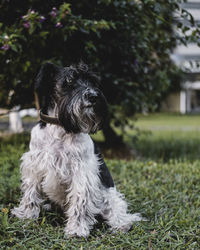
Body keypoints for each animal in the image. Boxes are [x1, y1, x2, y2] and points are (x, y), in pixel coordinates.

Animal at [11, 62, 142, 236]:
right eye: (69, 81)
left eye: (93, 81)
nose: (93, 96)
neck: (60, 129)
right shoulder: (34, 167)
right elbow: (31, 194)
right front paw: (26, 216)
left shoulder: (82, 172)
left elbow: (80, 202)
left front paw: (77, 229)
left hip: (109, 198)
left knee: (117, 211)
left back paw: (122, 225)